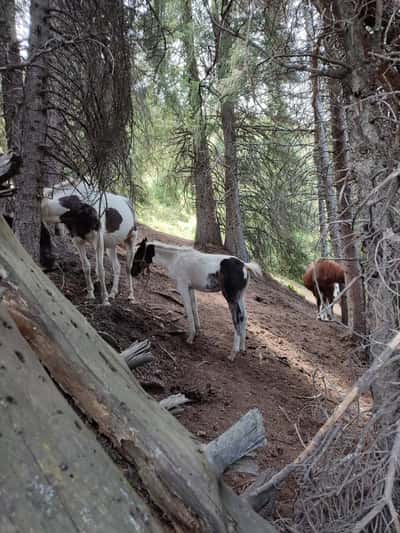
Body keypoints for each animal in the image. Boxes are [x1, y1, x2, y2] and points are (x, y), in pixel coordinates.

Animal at [131, 239, 262, 360]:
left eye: (138, 254)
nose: (132, 272)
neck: (175, 259)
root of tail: (244, 266)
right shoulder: (191, 288)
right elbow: (194, 307)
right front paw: (198, 331)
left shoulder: (183, 286)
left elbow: (188, 308)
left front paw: (190, 337)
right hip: (240, 296)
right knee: (244, 316)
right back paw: (242, 348)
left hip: (231, 297)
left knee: (237, 318)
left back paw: (233, 353)